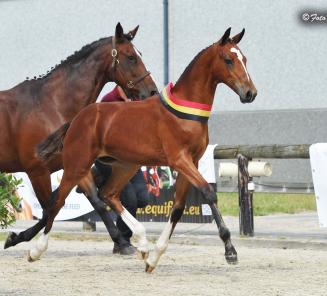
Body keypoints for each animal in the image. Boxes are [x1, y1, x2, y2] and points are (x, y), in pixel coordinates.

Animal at [0, 22, 158, 250]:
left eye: (139, 54)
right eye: (131, 57)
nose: (152, 92)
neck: (52, 105)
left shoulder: (77, 165)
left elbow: (96, 201)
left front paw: (121, 242)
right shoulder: (37, 171)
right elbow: (50, 208)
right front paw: (18, 238)